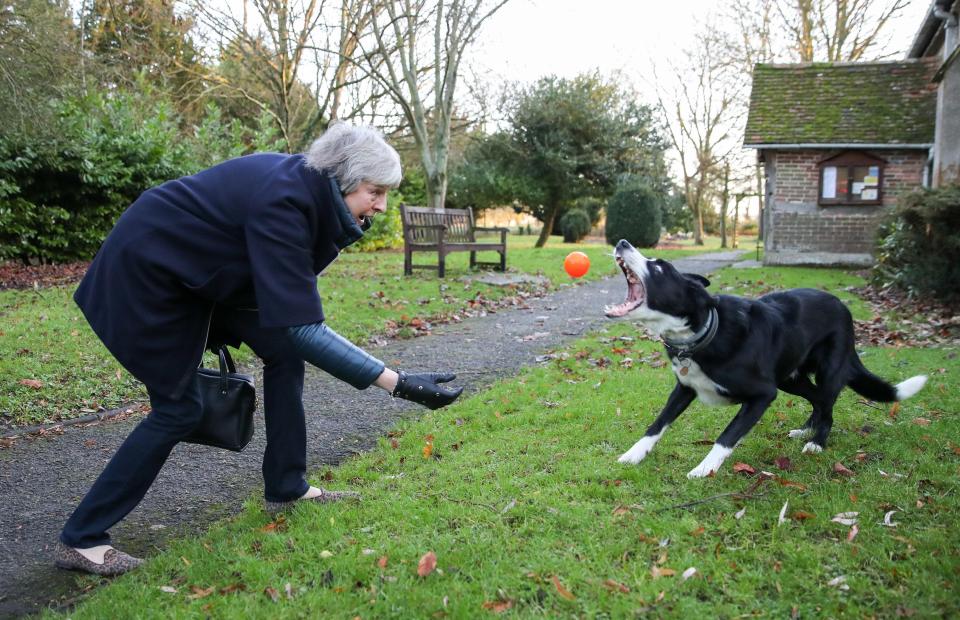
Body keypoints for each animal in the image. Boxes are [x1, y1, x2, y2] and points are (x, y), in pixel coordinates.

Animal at [604, 239, 928, 480]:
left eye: (658, 268)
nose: (622, 242)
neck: (705, 331)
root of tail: (843, 307)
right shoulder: (684, 388)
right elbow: (657, 424)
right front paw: (633, 455)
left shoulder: (762, 394)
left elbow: (727, 436)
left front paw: (704, 469)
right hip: (790, 378)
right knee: (817, 399)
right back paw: (806, 430)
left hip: (827, 369)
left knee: (827, 404)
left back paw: (816, 442)